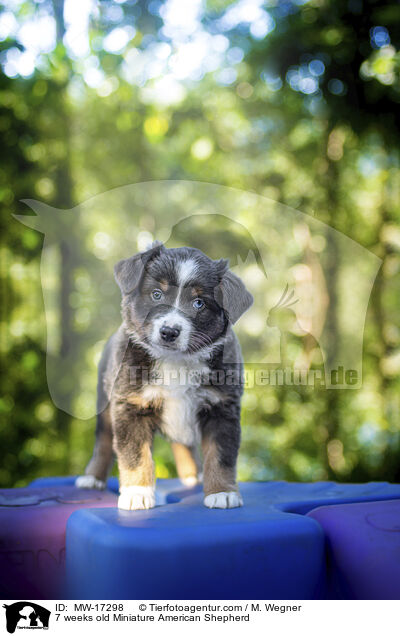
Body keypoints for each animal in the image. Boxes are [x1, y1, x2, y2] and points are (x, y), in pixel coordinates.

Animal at [76, 241, 252, 510]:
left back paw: (193, 476)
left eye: (199, 303)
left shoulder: (222, 407)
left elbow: (221, 456)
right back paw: (92, 478)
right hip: (105, 403)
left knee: (183, 444)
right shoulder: (130, 405)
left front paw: (222, 492)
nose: (169, 331)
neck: (175, 361)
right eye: (156, 294)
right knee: (103, 442)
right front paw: (137, 493)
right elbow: (135, 454)